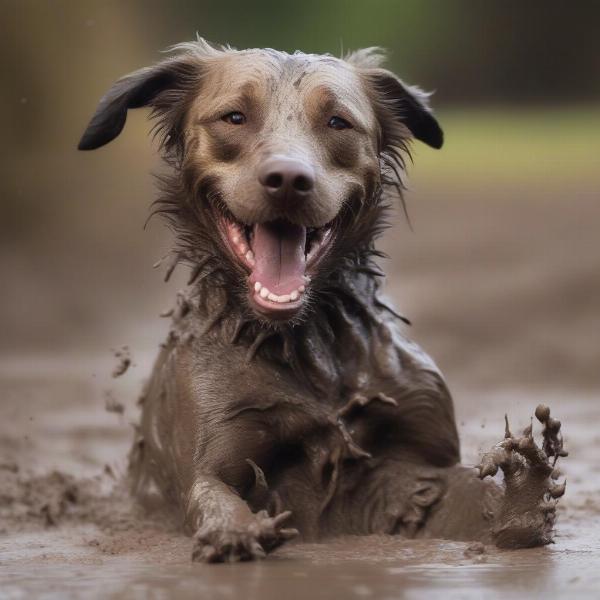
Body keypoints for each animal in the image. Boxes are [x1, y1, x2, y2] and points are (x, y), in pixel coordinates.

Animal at [79, 38, 568, 564]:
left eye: (338, 122)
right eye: (234, 117)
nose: (288, 179)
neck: (305, 341)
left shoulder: (410, 458)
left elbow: (464, 495)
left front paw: (524, 495)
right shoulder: (216, 442)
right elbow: (213, 492)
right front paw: (239, 531)